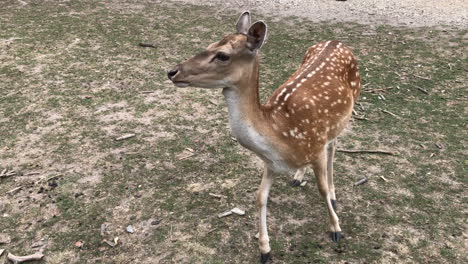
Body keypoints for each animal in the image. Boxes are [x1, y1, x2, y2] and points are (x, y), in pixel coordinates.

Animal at [166, 11, 360, 262]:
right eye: (209, 45)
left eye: (222, 55)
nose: (172, 72)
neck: (281, 133)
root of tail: (336, 41)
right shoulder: (271, 163)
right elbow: (260, 197)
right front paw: (265, 249)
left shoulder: (316, 144)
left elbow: (322, 188)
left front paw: (336, 228)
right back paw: (297, 176)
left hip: (343, 116)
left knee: (333, 150)